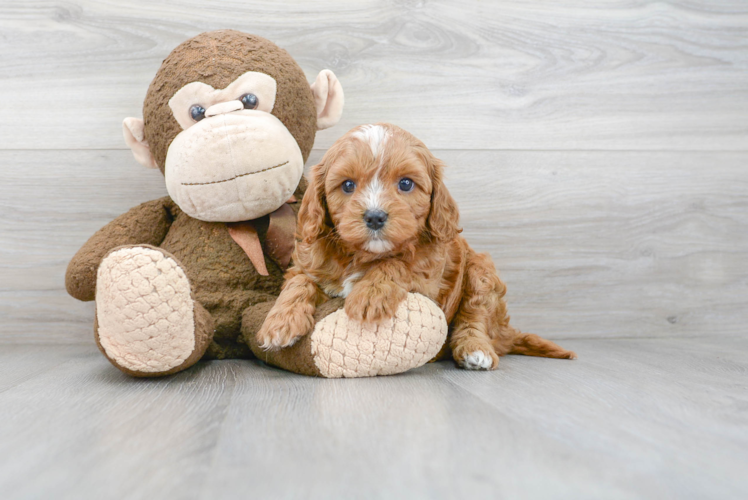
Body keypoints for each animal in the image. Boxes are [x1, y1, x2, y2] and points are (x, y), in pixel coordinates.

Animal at [258, 123, 580, 370]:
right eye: (347, 185)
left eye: (406, 184)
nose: (375, 217)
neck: (362, 255)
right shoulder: (310, 261)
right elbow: (299, 282)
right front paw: (279, 322)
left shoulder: (429, 281)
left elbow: (398, 263)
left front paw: (370, 294)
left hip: (481, 272)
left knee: (474, 316)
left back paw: (475, 350)